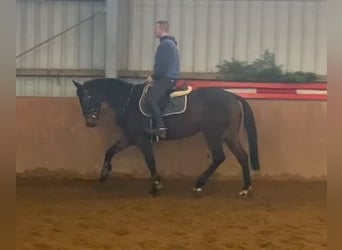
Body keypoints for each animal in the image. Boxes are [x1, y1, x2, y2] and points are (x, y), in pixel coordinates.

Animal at [72, 77, 260, 196]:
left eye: (87, 96)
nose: (90, 122)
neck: (128, 101)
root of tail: (233, 96)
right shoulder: (130, 137)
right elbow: (110, 151)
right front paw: (103, 174)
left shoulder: (142, 139)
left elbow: (150, 162)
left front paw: (156, 186)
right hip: (228, 135)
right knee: (242, 156)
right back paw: (245, 188)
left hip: (213, 133)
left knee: (219, 157)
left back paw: (200, 185)